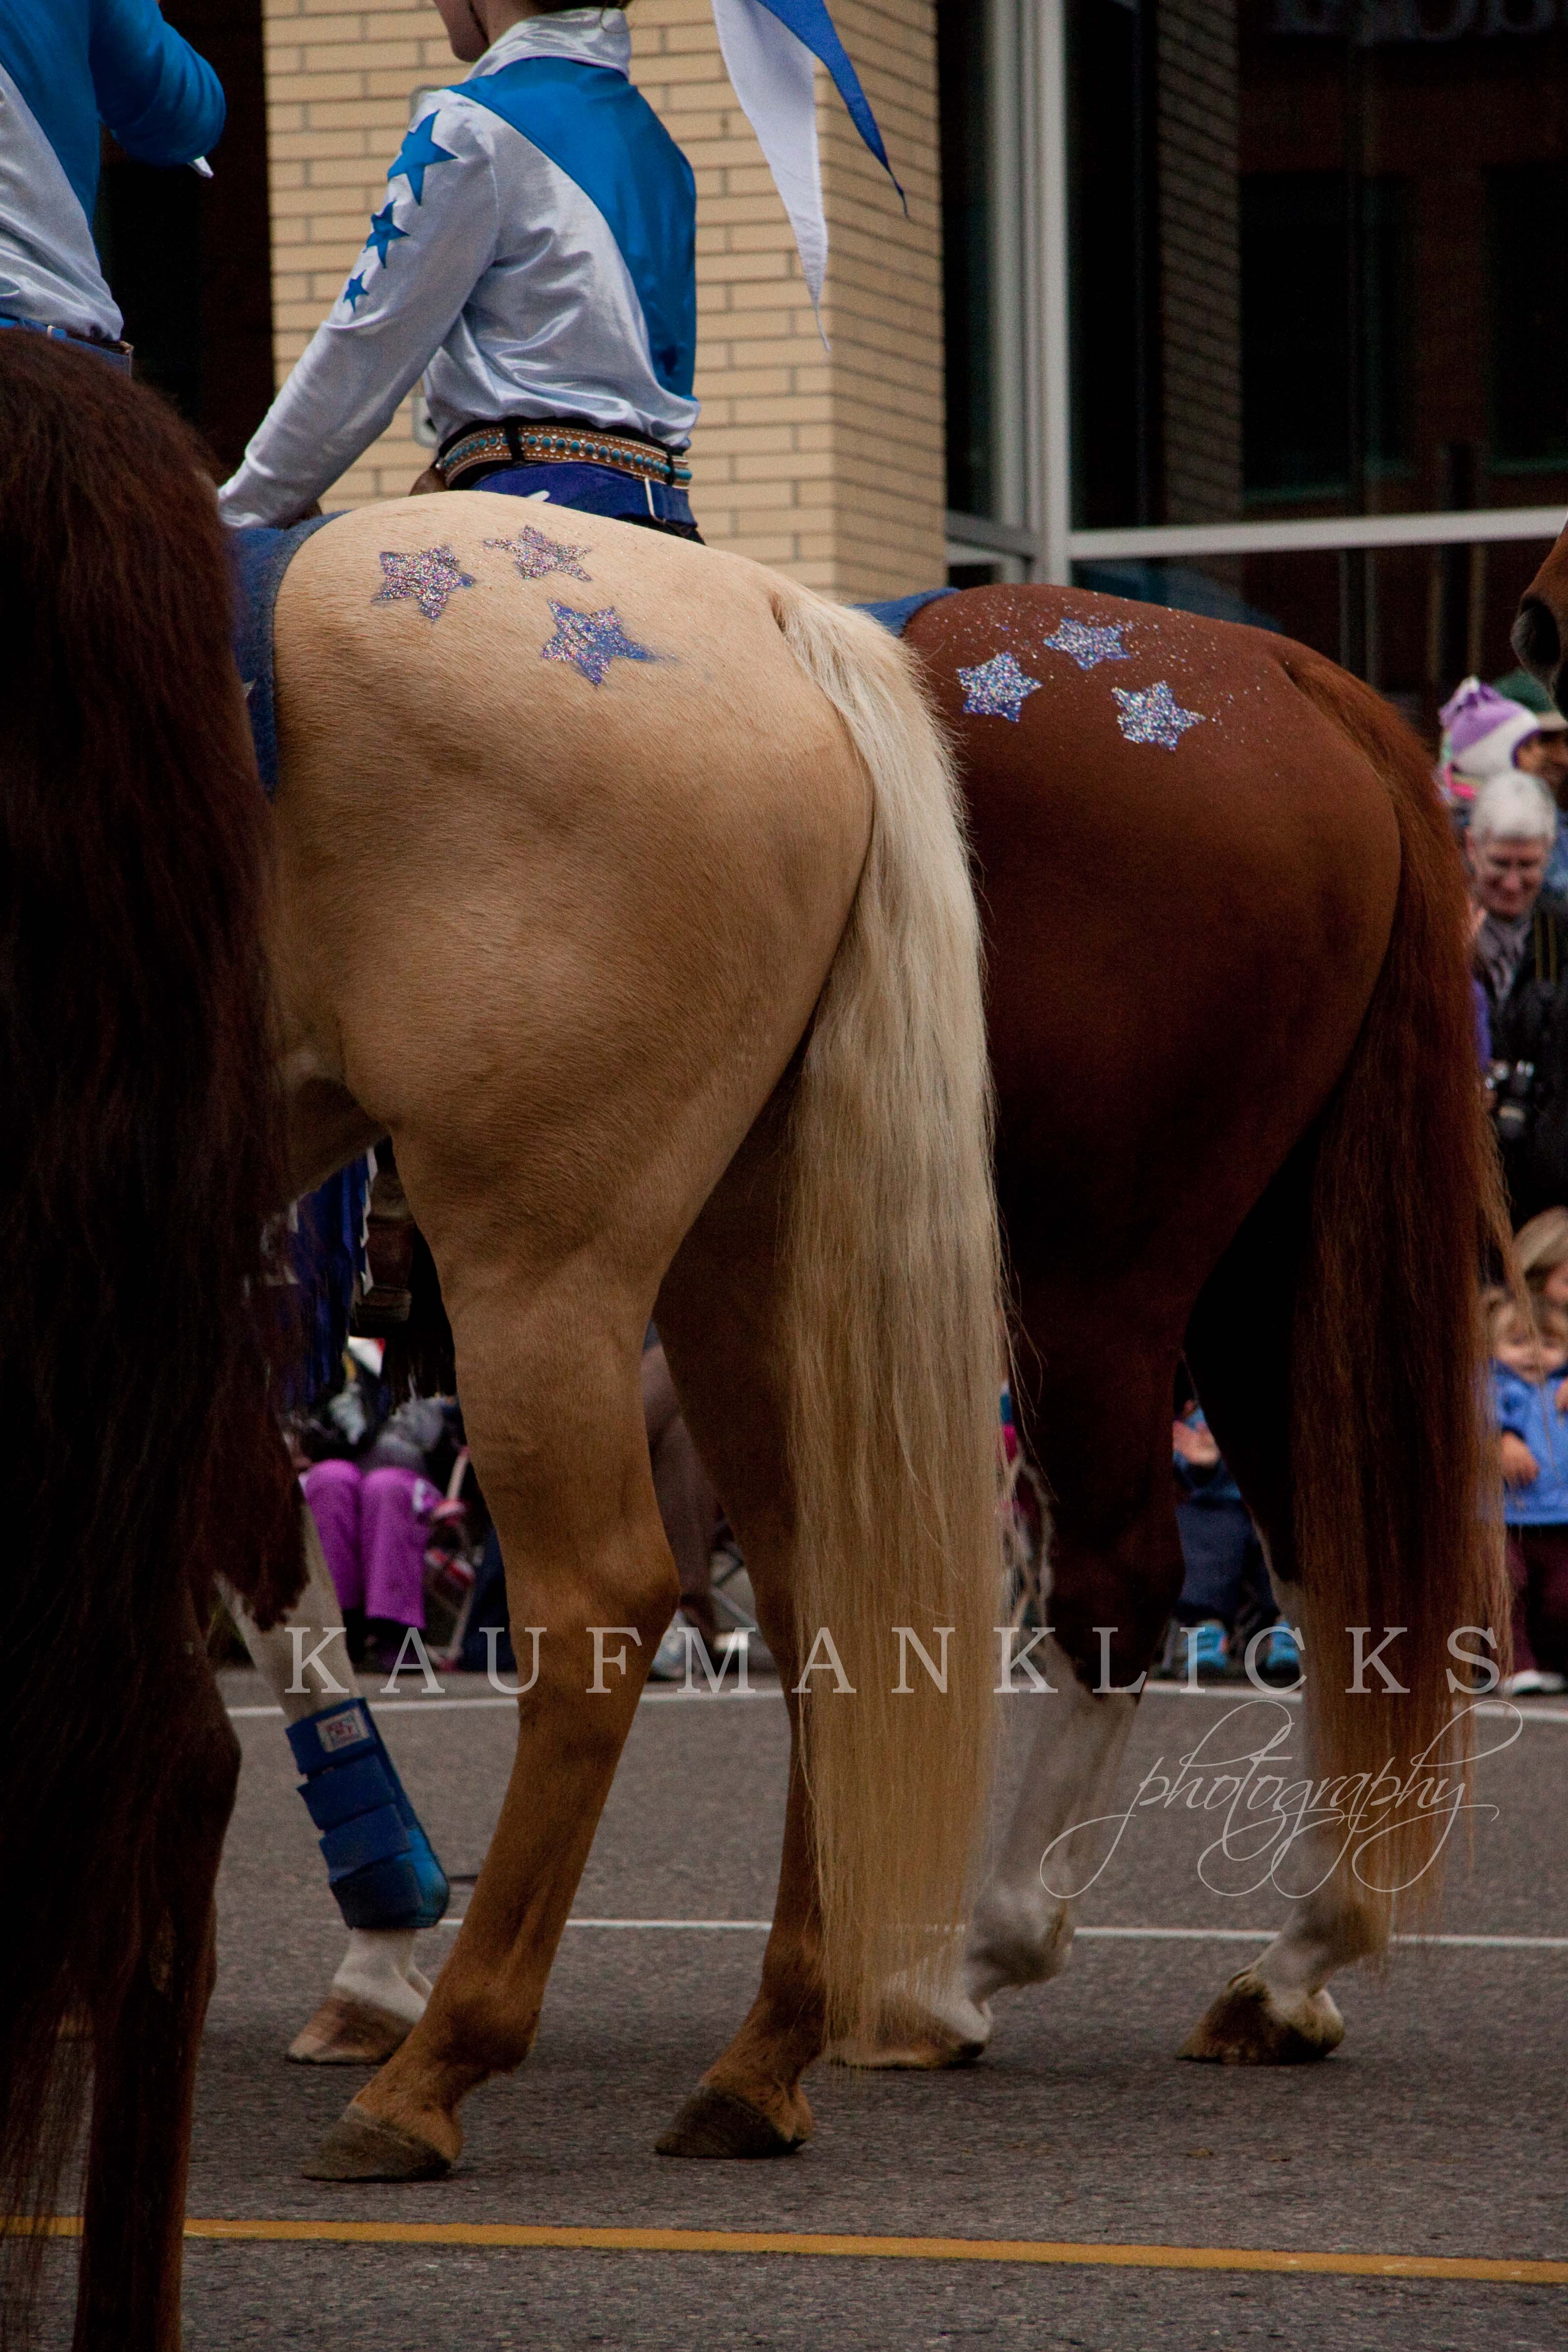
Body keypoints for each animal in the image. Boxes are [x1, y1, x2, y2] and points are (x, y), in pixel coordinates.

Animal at [0, 334, 1005, 2346]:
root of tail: (771, 620)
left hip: (543, 1254)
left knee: (605, 1602)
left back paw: (436, 2066)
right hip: (733, 1251)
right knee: (811, 1589)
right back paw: (755, 2056)